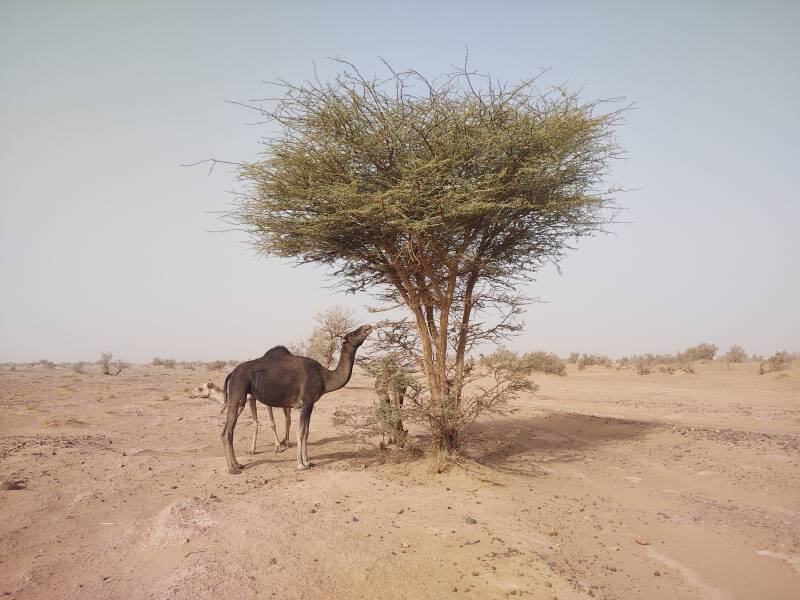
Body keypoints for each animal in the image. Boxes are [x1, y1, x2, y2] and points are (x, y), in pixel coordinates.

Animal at [219, 324, 368, 474]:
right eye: (354, 333)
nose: (368, 327)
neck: (324, 377)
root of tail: (232, 372)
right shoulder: (306, 402)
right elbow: (300, 432)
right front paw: (300, 464)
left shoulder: (311, 404)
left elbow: (306, 432)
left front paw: (308, 461)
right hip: (237, 394)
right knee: (227, 432)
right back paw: (232, 468)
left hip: (242, 399)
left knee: (228, 431)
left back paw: (237, 464)